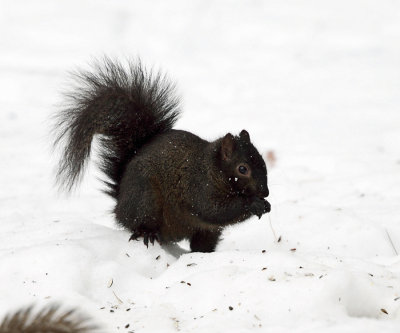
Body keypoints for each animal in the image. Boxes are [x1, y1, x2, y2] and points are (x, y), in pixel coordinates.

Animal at [53, 58, 272, 252]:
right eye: (242, 169)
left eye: (263, 162)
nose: (265, 192)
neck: (212, 168)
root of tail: (120, 204)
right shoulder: (198, 185)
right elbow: (214, 209)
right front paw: (254, 204)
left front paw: (266, 204)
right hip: (145, 198)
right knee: (139, 222)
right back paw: (147, 233)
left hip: (207, 232)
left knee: (200, 244)